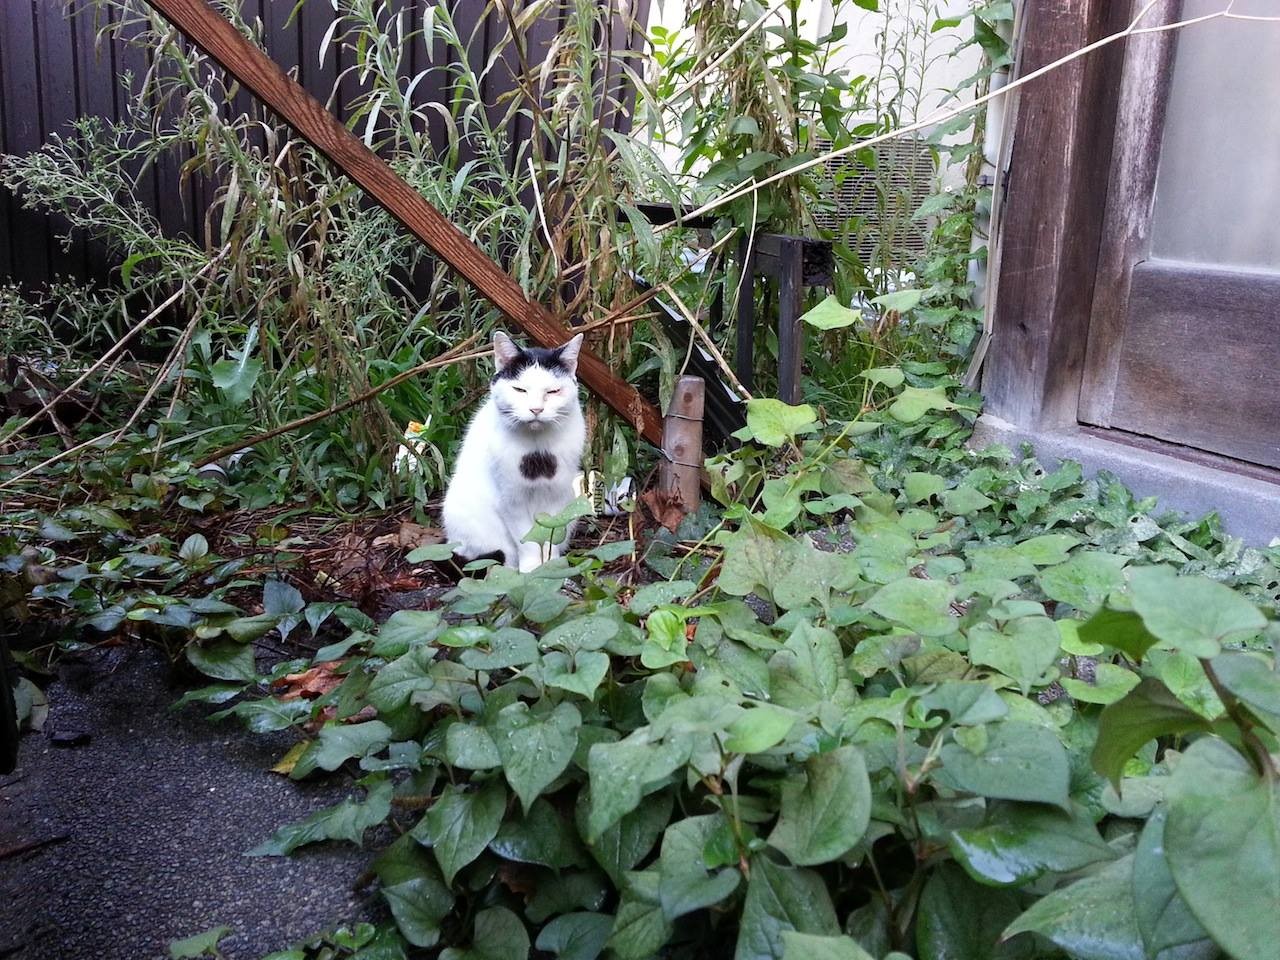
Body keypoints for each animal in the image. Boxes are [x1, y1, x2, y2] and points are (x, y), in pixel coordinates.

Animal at [442, 330, 586, 570]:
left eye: (553, 391)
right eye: (520, 390)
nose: (536, 409)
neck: (537, 449)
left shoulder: (557, 499)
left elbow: (551, 537)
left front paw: (551, 568)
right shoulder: (510, 501)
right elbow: (527, 541)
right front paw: (531, 570)